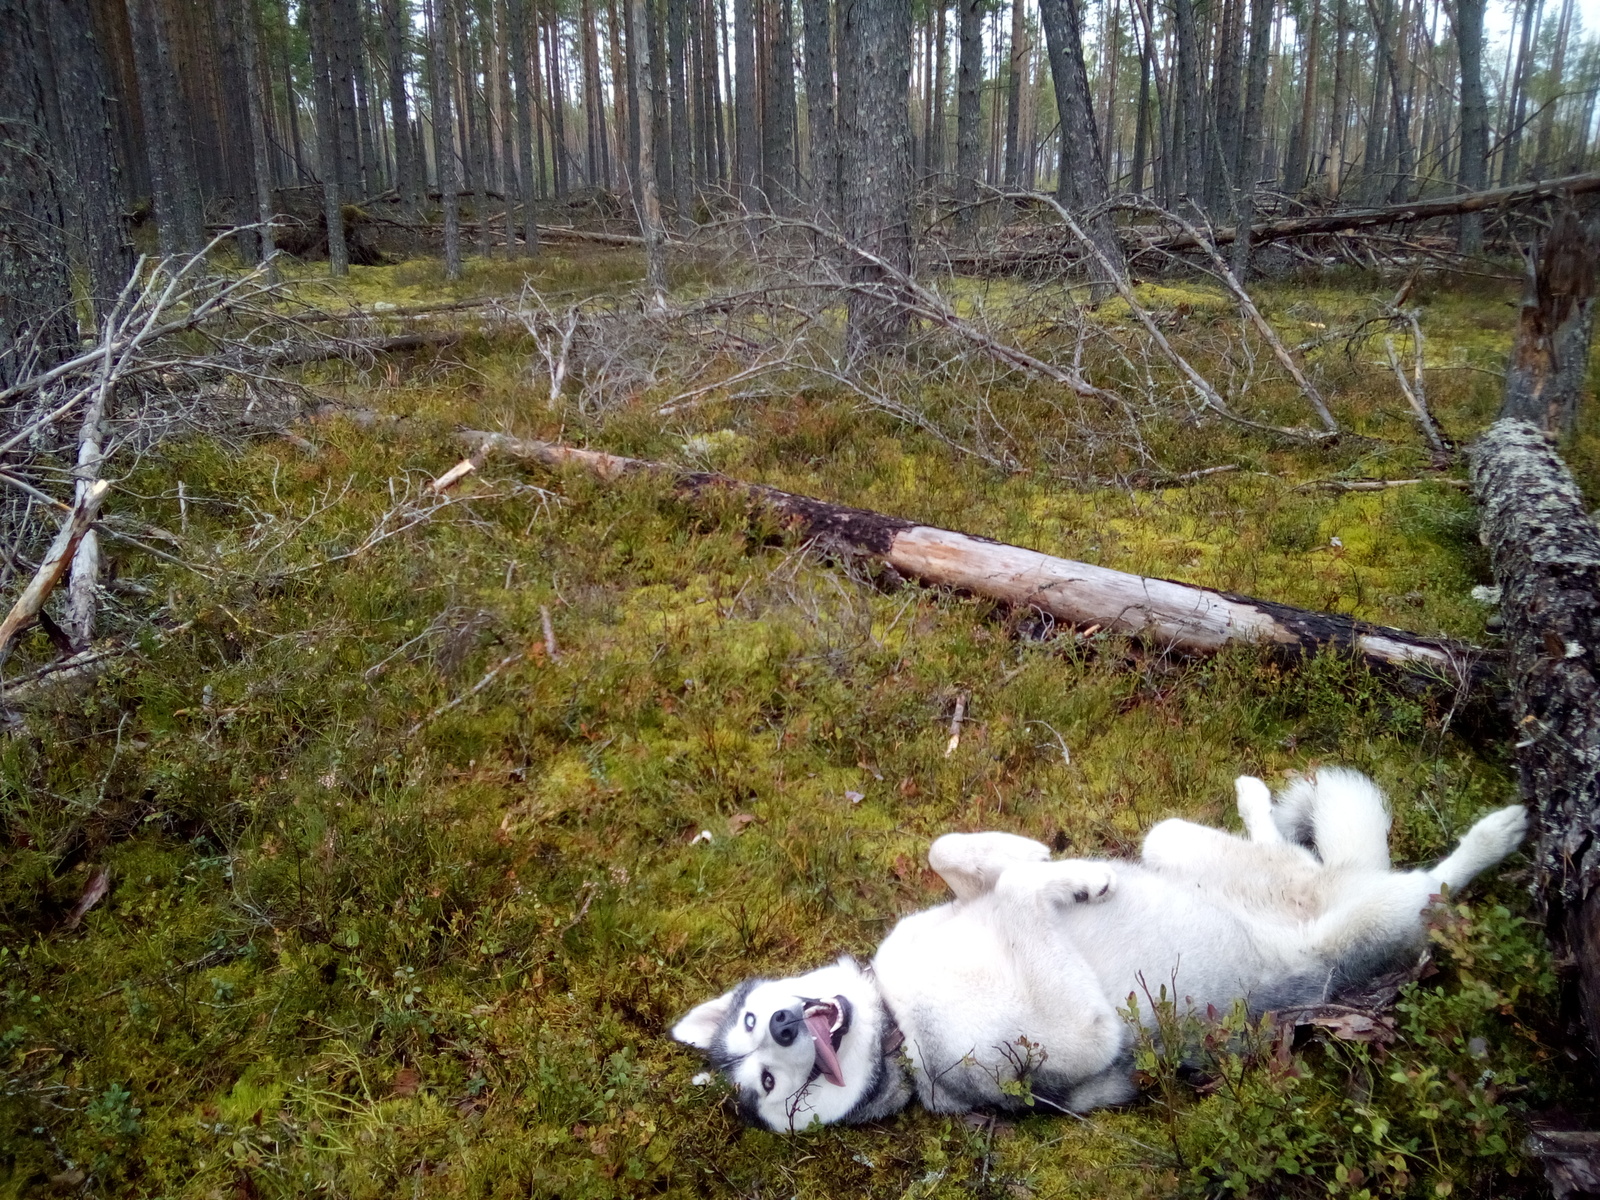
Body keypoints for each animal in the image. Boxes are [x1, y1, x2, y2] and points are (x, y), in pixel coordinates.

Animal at [665, 771, 1523, 1139]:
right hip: (1367, 922)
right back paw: (1500, 833)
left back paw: (1258, 798)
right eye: (771, 1085)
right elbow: (1016, 893)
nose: (782, 1026)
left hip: (1178, 842)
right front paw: (1058, 880)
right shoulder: (1076, 1038)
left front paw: (1058, 869)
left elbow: (959, 852)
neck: (900, 1023)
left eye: (751, 1020)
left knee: (1308, 852)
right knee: (1433, 885)